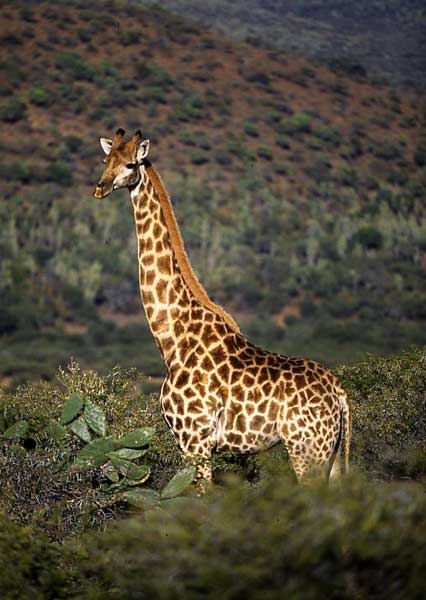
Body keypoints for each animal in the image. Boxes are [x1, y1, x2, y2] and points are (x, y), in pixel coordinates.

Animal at [95, 129, 352, 486]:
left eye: (130, 163)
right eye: (106, 160)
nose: (100, 187)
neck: (173, 339)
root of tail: (340, 394)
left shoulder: (194, 439)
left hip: (308, 451)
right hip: (333, 454)